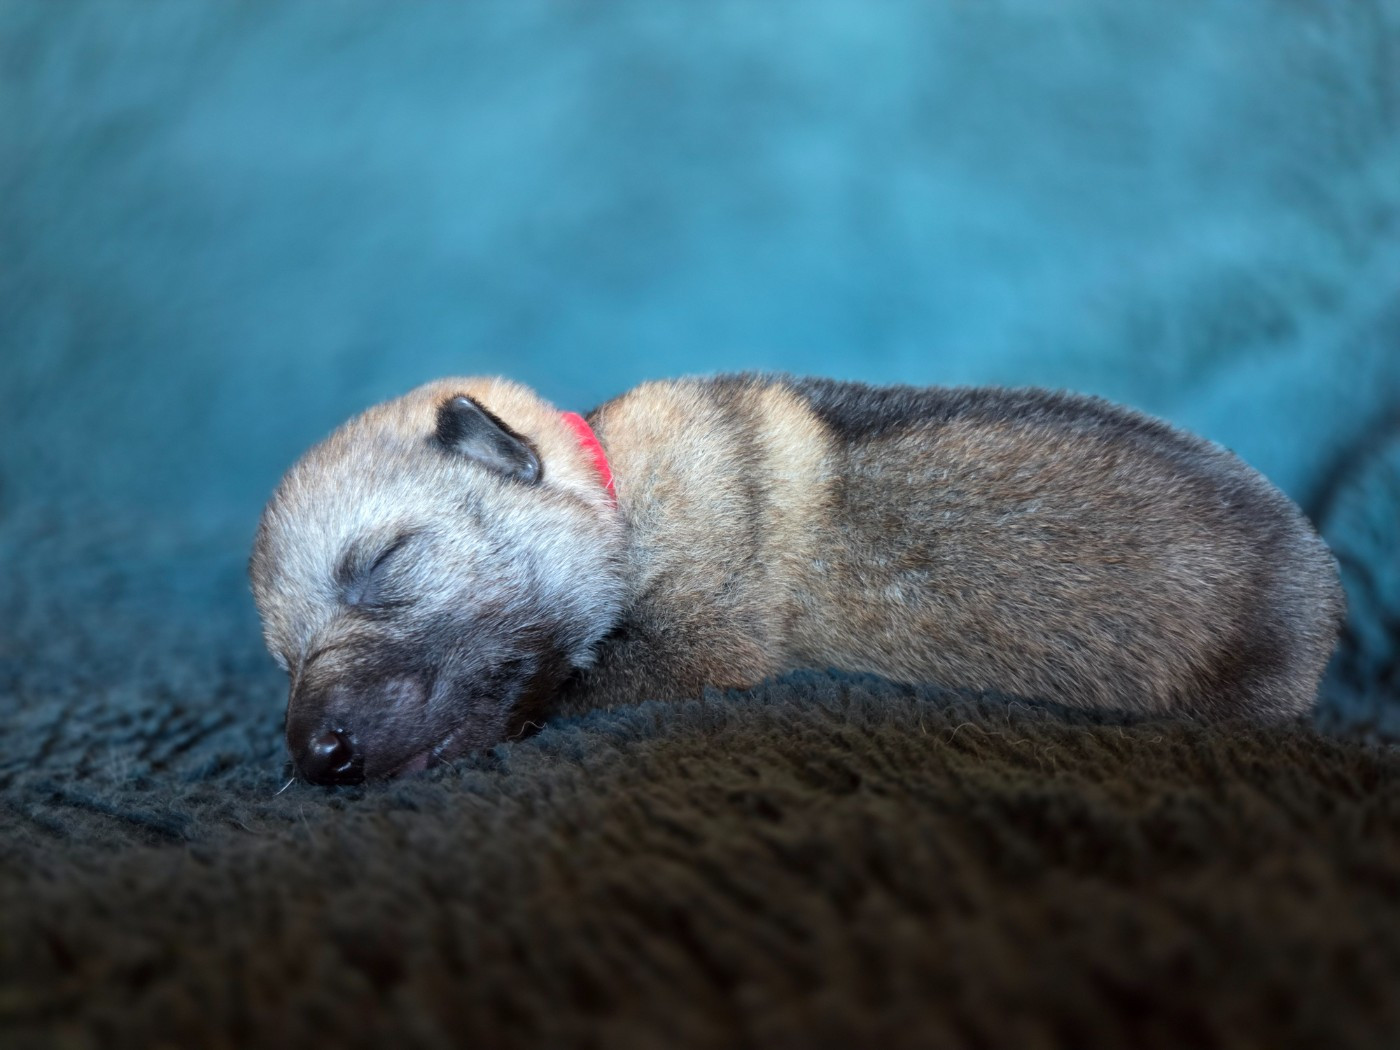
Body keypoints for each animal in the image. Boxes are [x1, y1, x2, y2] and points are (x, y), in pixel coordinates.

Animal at [250, 374, 1344, 784]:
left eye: (383, 564)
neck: (614, 487)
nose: (317, 754)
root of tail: (1325, 584)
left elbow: (578, 686)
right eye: (283, 658)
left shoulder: (702, 641)